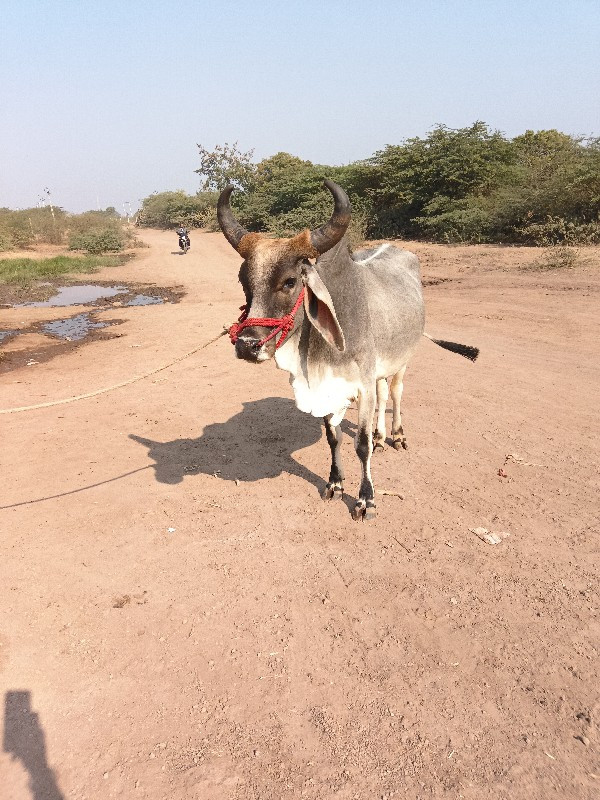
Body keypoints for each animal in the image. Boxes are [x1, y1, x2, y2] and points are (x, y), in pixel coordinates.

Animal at [217, 178, 478, 520]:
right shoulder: (331, 389)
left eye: (289, 282)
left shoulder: (362, 388)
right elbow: (334, 437)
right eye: (244, 282)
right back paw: (382, 436)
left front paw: (366, 499)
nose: (247, 345)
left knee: (395, 393)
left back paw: (396, 435)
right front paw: (335, 483)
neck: (318, 355)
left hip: (402, 360)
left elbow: (361, 445)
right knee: (384, 394)